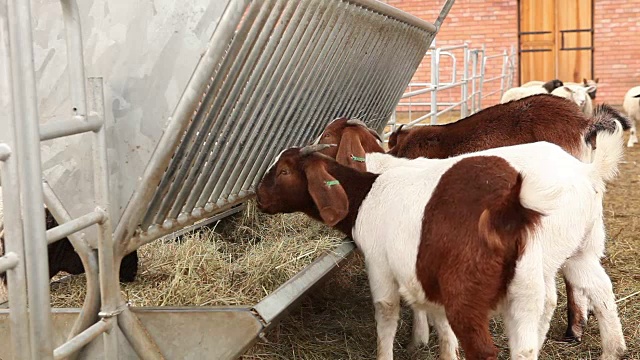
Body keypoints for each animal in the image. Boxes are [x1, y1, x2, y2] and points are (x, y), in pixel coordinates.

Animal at [255, 128, 624, 358]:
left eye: (284, 171)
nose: (258, 197)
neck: (369, 191)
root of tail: (587, 173)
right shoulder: (425, 273)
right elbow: (436, 320)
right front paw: (431, 345)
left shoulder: (379, 264)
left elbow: (386, 314)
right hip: (567, 256)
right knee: (589, 293)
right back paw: (612, 350)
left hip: (483, 287)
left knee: (494, 341)